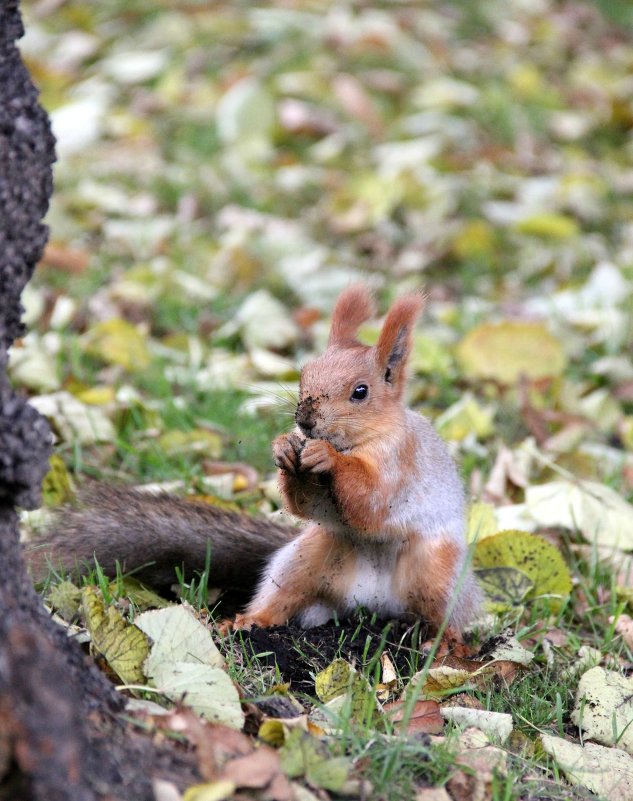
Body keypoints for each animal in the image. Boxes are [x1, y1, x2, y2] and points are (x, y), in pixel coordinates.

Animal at [24, 284, 478, 636]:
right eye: (304, 373)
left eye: (361, 392)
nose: (304, 419)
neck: (361, 441)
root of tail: (374, 603)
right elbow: (307, 504)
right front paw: (284, 448)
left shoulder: (400, 464)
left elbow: (370, 503)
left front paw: (326, 456)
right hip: (309, 558)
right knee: (283, 597)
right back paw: (247, 621)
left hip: (434, 571)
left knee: (444, 615)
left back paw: (444, 644)